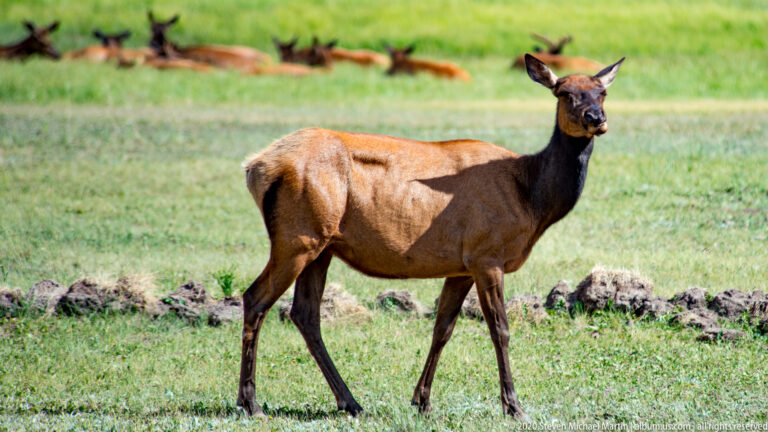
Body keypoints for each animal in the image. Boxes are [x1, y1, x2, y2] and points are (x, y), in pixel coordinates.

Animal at [237, 53, 624, 419]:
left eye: (602, 92)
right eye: (564, 93)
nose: (595, 118)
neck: (532, 200)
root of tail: (255, 167)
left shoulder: (461, 265)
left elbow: (443, 328)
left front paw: (421, 400)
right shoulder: (486, 254)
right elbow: (500, 329)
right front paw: (514, 406)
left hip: (322, 246)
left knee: (305, 314)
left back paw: (350, 402)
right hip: (297, 237)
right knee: (255, 298)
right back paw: (250, 402)